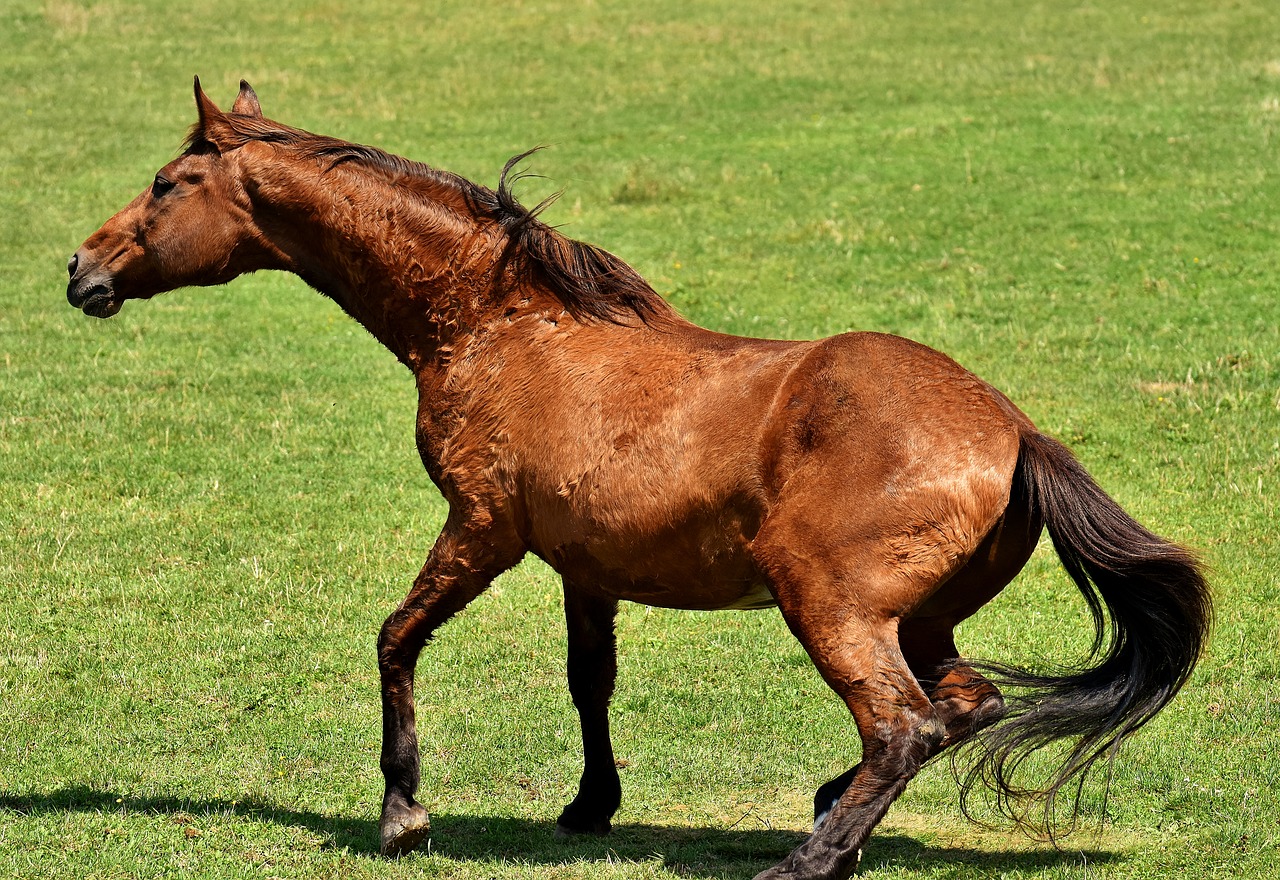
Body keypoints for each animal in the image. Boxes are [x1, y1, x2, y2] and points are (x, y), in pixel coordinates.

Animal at [67, 80, 1208, 880]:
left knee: (905, 723)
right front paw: (588, 805)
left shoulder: (480, 529)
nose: (80, 269)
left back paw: (810, 854)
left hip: (830, 605)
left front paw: (403, 814)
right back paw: (826, 805)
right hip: (921, 615)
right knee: (961, 704)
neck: (498, 325)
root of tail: (1014, 432)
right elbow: (589, 681)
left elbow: (395, 639)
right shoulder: (583, 565)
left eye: (167, 184)